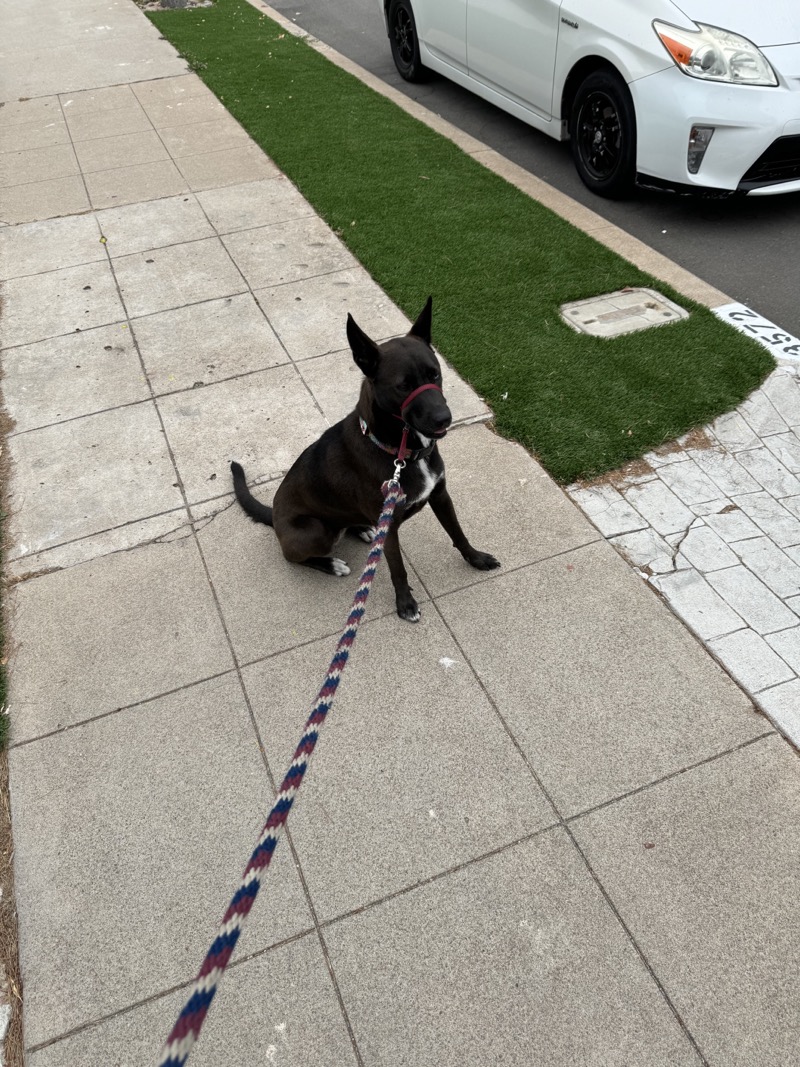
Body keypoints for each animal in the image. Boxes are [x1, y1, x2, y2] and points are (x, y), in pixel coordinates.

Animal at [228, 296, 499, 623]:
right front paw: (405, 603)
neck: (400, 453)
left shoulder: (440, 495)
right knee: (293, 556)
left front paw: (476, 558)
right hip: (314, 531)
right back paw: (331, 563)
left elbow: (458, 533)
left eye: (435, 373)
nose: (443, 418)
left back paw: (362, 529)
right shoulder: (390, 526)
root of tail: (274, 516)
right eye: (403, 385)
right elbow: (397, 568)